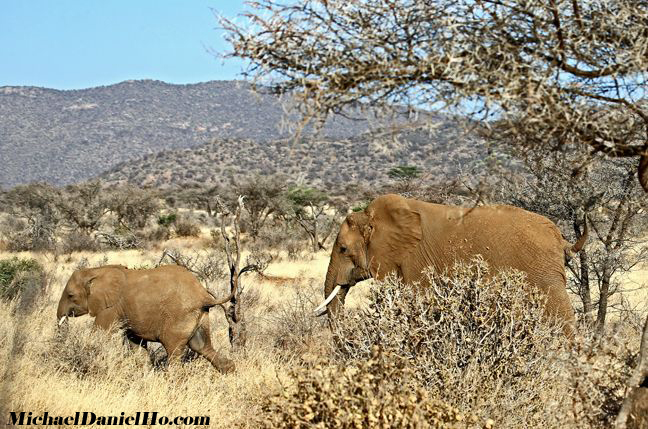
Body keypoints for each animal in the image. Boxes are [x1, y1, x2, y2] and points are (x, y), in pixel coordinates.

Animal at [55, 262, 233, 372]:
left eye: (70, 295)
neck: (96, 271)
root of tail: (203, 295)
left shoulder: (110, 308)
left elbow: (99, 334)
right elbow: (135, 342)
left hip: (179, 317)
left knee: (174, 352)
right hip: (200, 316)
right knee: (203, 347)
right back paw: (230, 371)